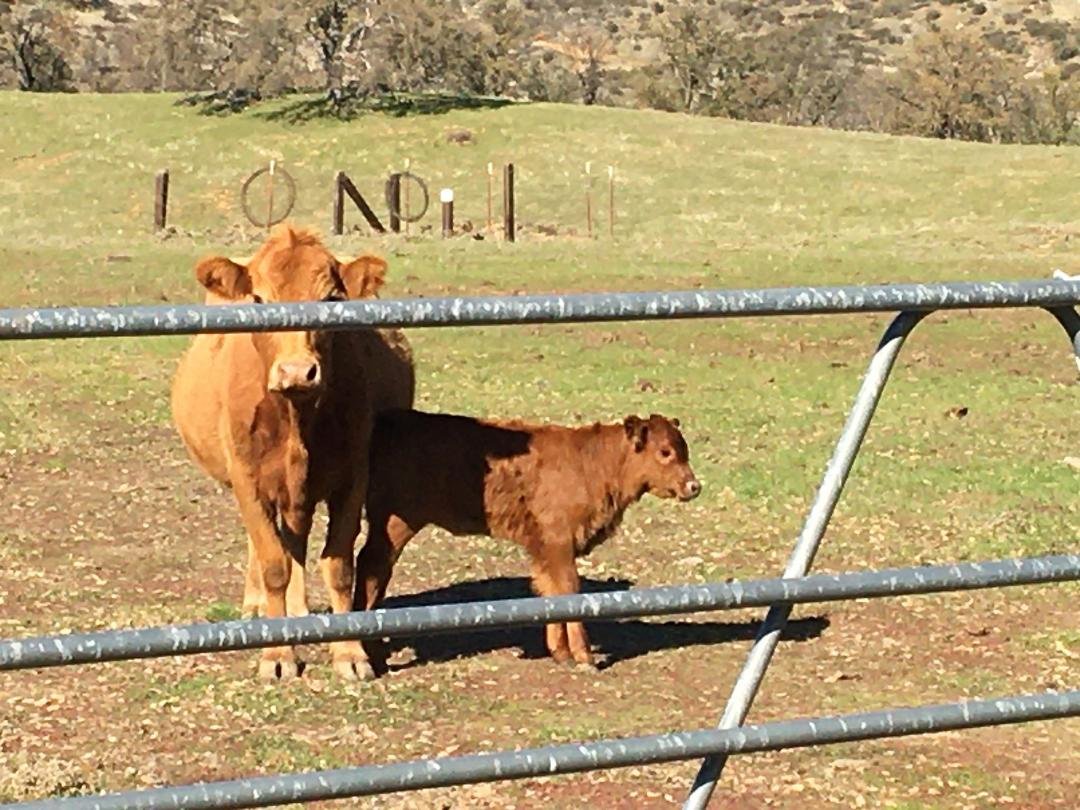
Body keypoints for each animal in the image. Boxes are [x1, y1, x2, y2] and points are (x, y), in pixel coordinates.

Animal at [171, 225, 415, 682]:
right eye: (258, 300)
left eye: (332, 299)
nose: (297, 372)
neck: (295, 416)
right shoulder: (248, 480)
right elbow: (273, 565)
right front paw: (277, 654)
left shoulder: (352, 477)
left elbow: (339, 566)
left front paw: (350, 653)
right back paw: (258, 609)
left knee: (297, 541)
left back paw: (299, 611)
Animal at [355, 411, 700, 669]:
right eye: (665, 452)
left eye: (684, 450)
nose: (694, 486)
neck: (593, 464)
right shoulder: (559, 542)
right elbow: (569, 591)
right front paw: (584, 656)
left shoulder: (545, 548)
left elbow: (550, 592)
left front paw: (561, 653)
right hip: (396, 523)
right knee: (371, 566)